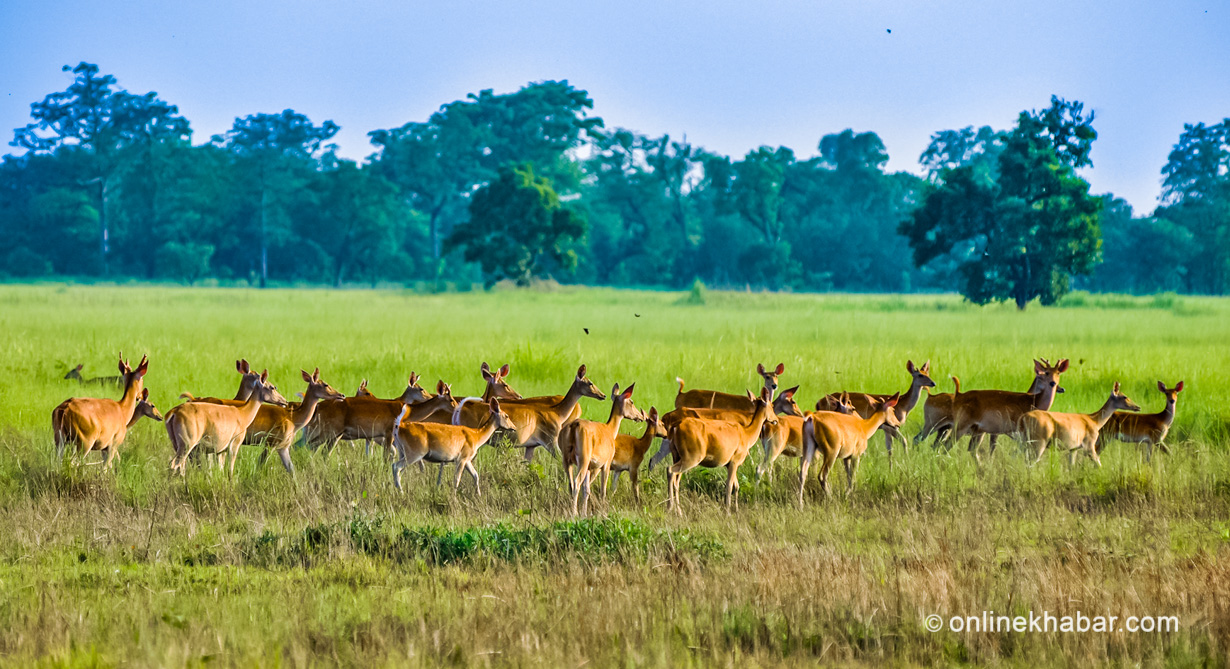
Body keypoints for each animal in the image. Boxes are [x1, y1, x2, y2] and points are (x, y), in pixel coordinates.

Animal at [563, 383, 649, 514]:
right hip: (583, 458)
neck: (610, 430)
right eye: (632, 401)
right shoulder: (606, 463)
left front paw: (584, 513)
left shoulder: (590, 467)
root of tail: (573, 426)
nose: (641, 417)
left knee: (571, 483)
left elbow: (586, 489)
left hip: (566, 459)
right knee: (577, 482)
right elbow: (603, 491)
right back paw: (574, 513)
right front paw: (602, 512)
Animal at [915, 359, 1067, 452]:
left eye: (1058, 372)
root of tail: (958, 394)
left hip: (948, 430)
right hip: (944, 427)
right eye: (1045, 373)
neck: (1033, 400)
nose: (1056, 385)